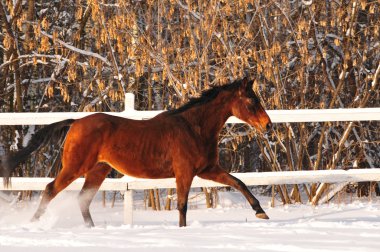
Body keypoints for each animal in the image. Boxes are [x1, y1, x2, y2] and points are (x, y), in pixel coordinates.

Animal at [0, 78, 274, 227]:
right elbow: (182, 206)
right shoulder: (185, 173)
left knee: (82, 199)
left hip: (98, 170)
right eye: (252, 102)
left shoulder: (208, 170)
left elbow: (238, 182)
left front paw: (260, 212)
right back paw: (32, 224)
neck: (193, 127)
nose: (268, 125)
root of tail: (76, 122)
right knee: (50, 190)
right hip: (75, 167)